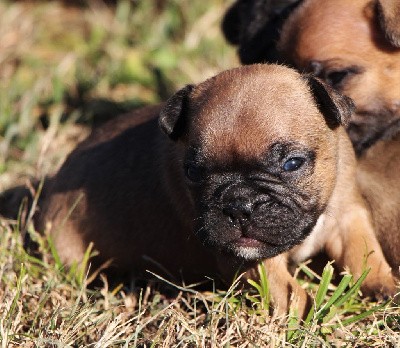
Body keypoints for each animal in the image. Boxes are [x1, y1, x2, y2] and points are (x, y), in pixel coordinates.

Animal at [0, 63, 396, 316]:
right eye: (193, 172)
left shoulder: (348, 218)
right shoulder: (247, 259)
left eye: (292, 164)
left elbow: (366, 256)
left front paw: (386, 287)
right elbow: (289, 293)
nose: (239, 204)